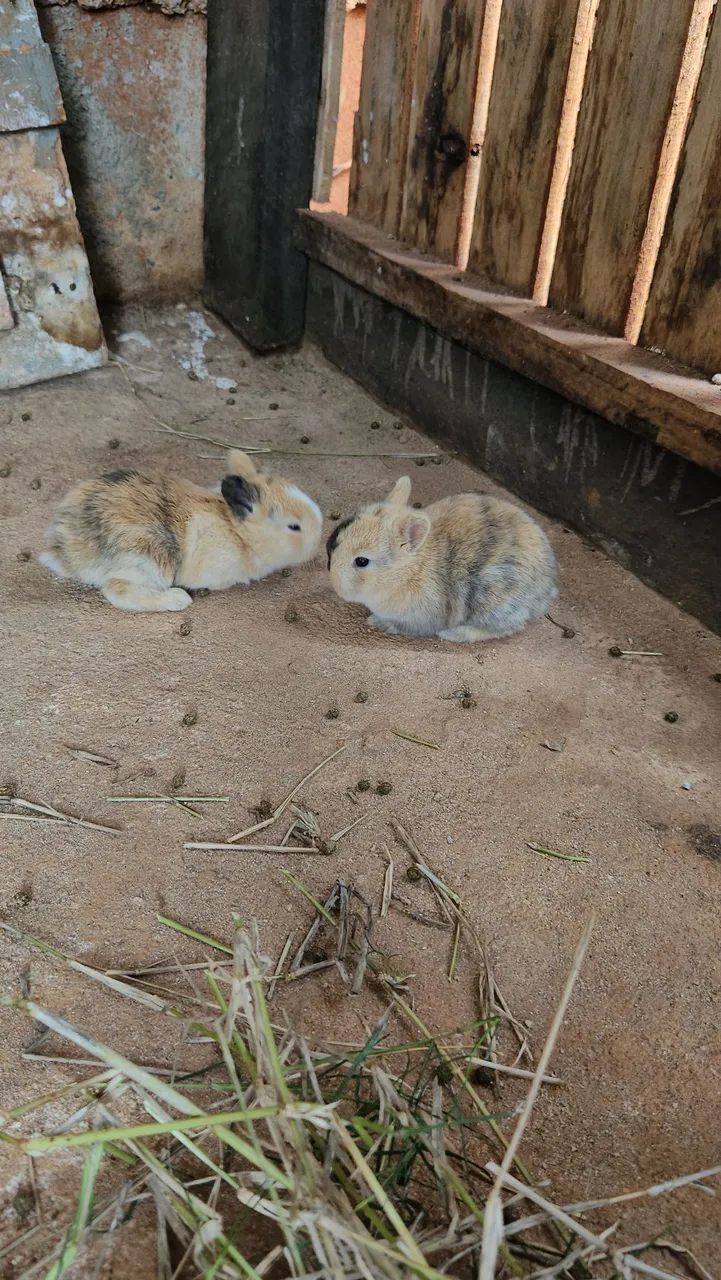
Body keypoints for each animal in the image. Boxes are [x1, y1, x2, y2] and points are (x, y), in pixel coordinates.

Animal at [39, 449, 323, 612]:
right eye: (294, 526)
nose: (319, 539)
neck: (238, 533)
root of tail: (66, 551)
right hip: (148, 558)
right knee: (117, 590)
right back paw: (178, 600)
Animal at [326, 476, 557, 642]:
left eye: (362, 561)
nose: (334, 582)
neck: (408, 571)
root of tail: (546, 589)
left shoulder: (420, 618)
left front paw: (376, 622)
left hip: (495, 600)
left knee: (504, 627)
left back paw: (453, 634)